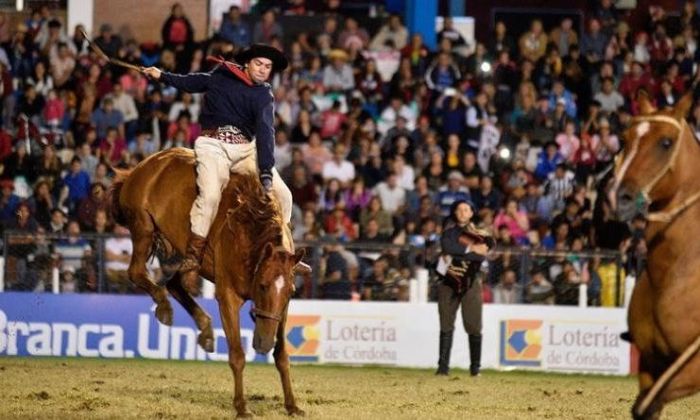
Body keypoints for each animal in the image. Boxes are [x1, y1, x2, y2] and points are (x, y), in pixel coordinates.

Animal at [110, 148, 304, 416]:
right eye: (263, 285)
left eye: (290, 291)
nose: (264, 344)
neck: (249, 231)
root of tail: (141, 168)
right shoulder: (228, 297)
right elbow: (237, 354)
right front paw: (241, 406)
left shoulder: (281, 310)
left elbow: (282, 355)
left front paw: (292, 405)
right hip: (143, 228)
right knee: (137, 272)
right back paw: (164, 307)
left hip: (188, 256)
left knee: (174, 284)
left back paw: (205, 329)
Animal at [608, 93, 700, 418]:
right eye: (625, 139)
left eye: (666, 142)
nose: (619, 197)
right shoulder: (650, 364)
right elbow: (644, 407)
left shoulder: (692, 367)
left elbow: (650, 403)